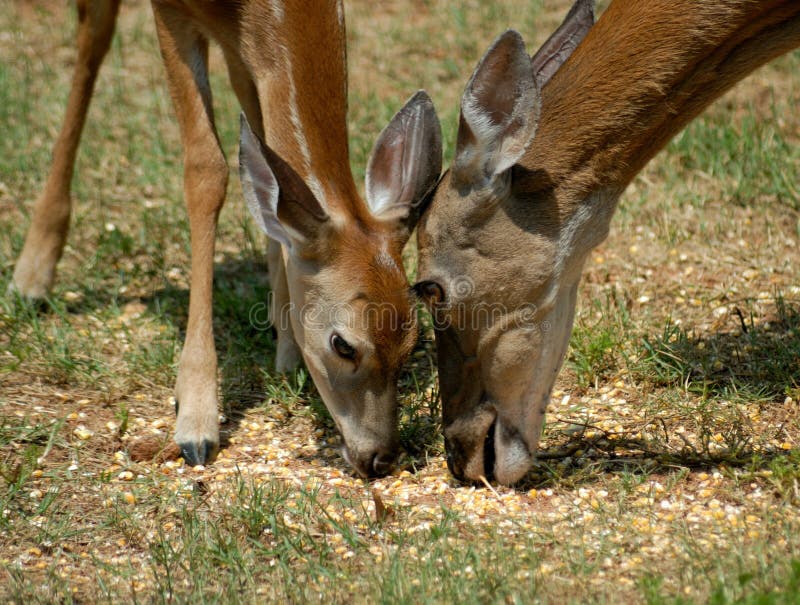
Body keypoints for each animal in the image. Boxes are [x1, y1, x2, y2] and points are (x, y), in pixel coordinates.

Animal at [7, 0, 444, 476]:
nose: (381, 457)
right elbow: (207, 170)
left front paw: (286, 348)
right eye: (343, 345)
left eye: (413, 342)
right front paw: (196, 422)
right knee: (91, 47)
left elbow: (262, 160)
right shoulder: (170, 14)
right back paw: (31, 275)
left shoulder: (250, 46)